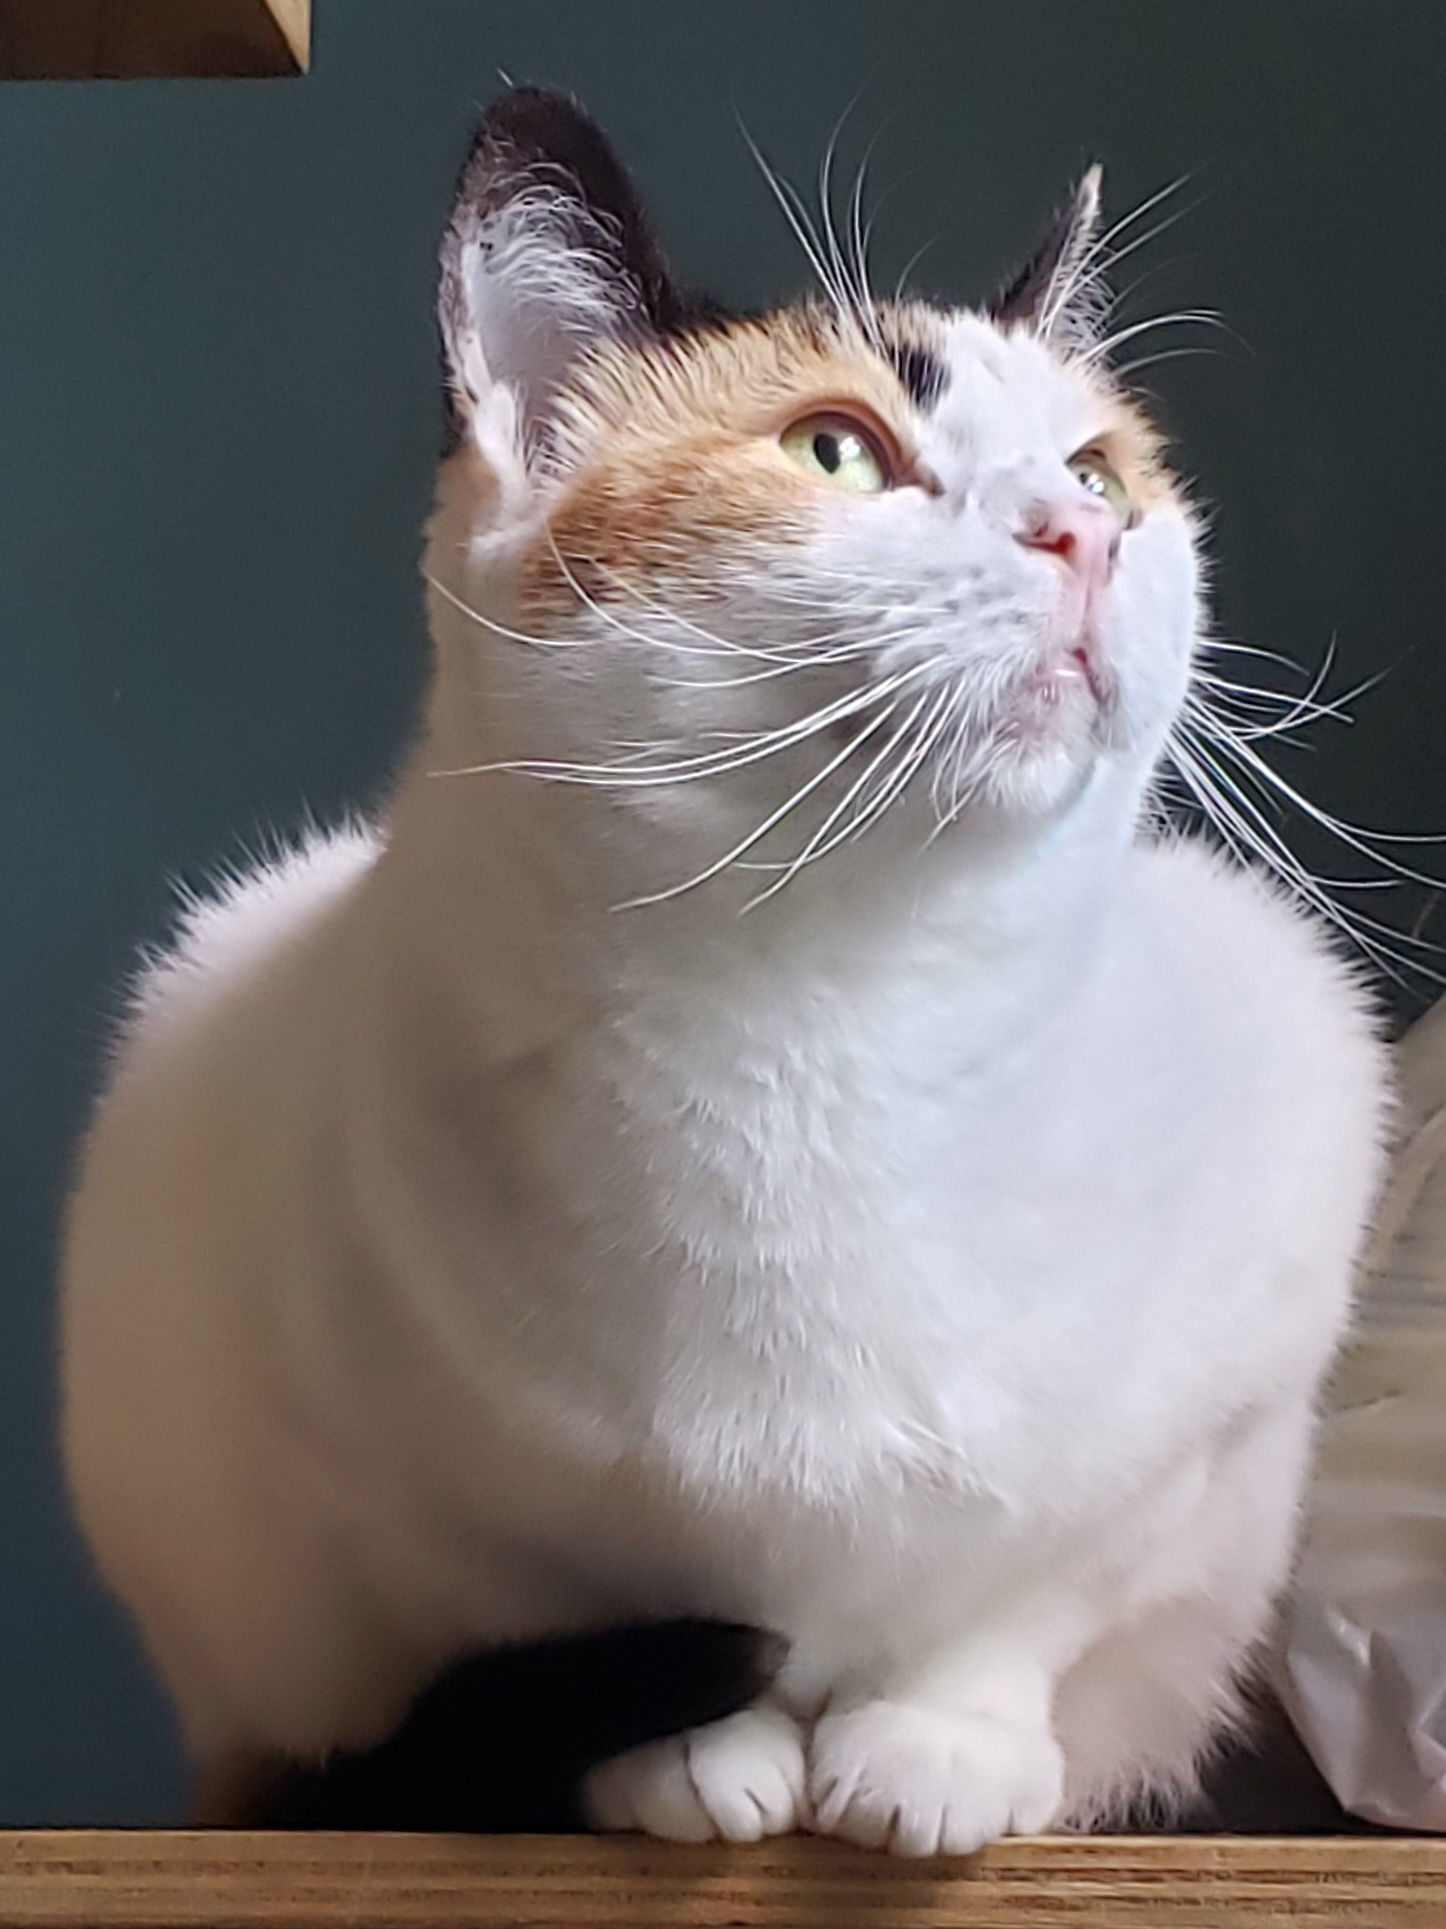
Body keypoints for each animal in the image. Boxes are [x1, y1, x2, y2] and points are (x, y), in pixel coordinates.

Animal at [59, 86, 1395, 1851]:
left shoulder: (1216, 1391)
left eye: (1101, 467)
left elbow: (1020, 1598)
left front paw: (936, 1750)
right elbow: (570, 1611)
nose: (1082, 535)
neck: (831, 1021)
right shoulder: (365, 1480)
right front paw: (687, 1754)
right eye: (835, 449)